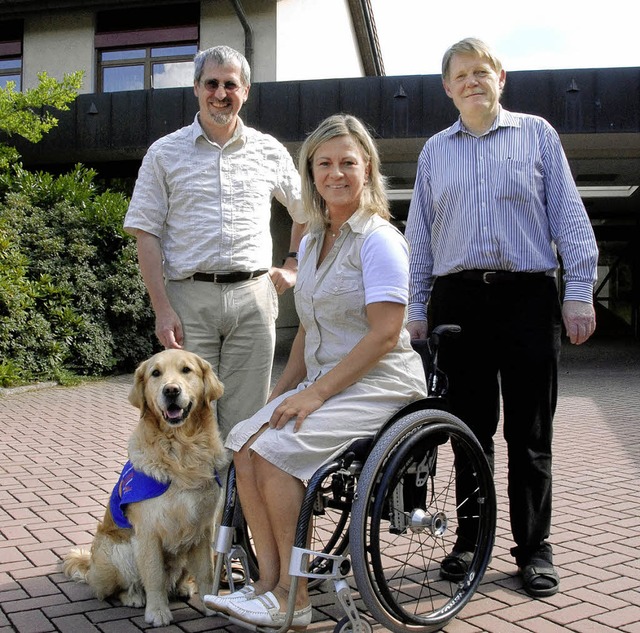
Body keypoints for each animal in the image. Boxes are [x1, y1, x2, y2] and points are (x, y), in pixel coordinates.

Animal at [62, 348, 228, 624]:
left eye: (186, 370)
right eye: (155, 373)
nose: (171, 391)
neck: (180, 451)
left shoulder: (203, 529)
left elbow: (207, 570)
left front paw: (208, 603)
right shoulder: (149, 532)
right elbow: (154, 576)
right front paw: (158, 611)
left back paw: (183, 587)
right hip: (120, 551)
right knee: (113, 589)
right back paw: (133, 597)